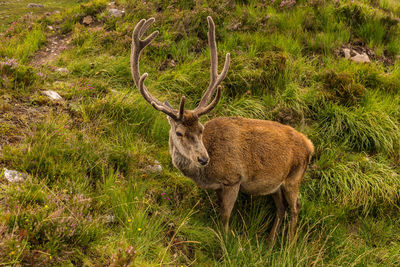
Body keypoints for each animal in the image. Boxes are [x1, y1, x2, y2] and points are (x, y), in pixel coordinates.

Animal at [130, 16, 314, 243]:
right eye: (179, 133)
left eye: (201, 129)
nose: (203, 158)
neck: (206, 174)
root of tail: (310, 145)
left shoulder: (233, 178)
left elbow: (225, 216)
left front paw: (227, 242)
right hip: (276, 184)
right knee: (281, 208)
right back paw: (270, 243)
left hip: (294, 177)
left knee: (296, 207)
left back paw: (289, 243)